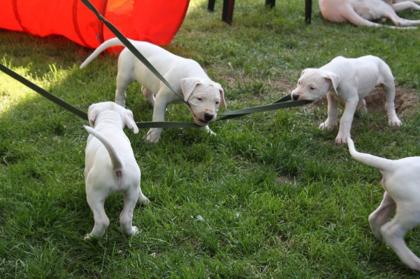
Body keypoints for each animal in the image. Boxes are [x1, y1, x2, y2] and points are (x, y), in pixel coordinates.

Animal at [81, 38, 228, 143]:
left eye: (217, 102)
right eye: (199, 98)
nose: (209, 116)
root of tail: (134, 43)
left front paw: (209, 132)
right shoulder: (163, 96)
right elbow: (159, 118)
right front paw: (153, 138)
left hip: (148, 78)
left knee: (146, 92)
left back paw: (153, 103)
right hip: (124, 75)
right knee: (120, 92)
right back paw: (121, 104)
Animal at [83, 101, 149, 240]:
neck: (110, 123)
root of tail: (117, 166)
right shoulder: (136, 184)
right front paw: (144, 200)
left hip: (94, 194)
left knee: (102, 220)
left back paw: (90, 237)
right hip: (131, 192)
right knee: (126, 218)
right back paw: (133, 232)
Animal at [348, 139, 420, 272]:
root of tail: (395, 165)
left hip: (391, 200)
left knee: (375, 218)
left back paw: (383, 243)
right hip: (414, 209)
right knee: (390, 231)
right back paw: (415, 262)